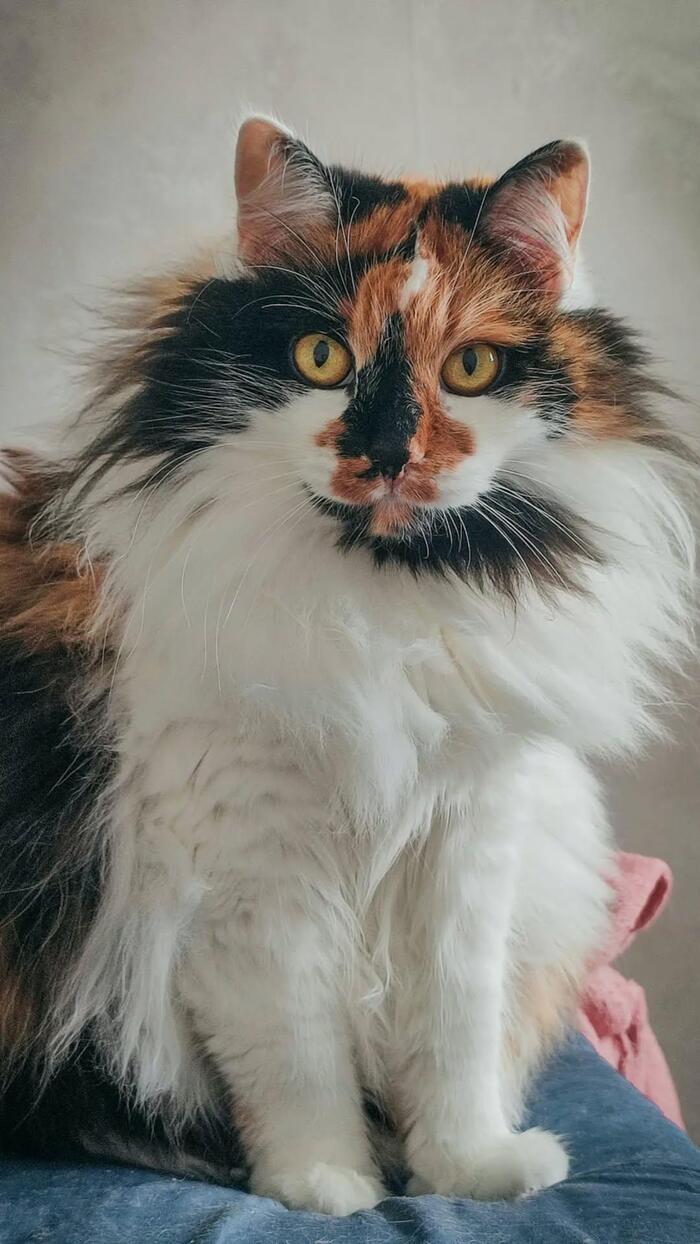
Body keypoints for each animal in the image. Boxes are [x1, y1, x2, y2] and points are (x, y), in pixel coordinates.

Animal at [0, 115, 694, 1216]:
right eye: (323, 356)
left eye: (470, 369)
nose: (387, 454)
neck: (380, 610)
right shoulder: (247, 877)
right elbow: (297, 1056)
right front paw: (326, 1184)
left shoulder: (468, 843)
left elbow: (455, 1031)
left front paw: (470, 1168)